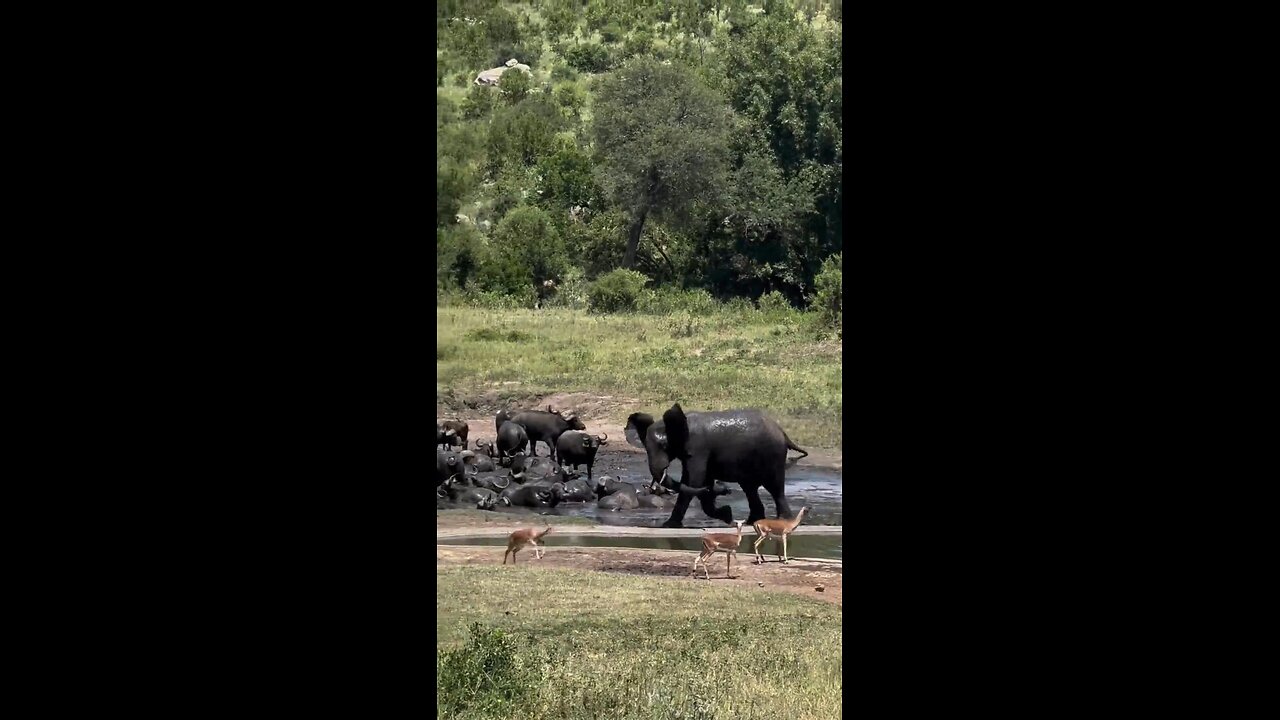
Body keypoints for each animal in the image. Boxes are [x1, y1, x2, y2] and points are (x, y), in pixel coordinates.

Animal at [627, 404, 798, 527]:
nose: (725, 489)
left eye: (664, 446)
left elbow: (694, 480)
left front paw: (668, 526)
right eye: (646, 448)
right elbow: (700, 482)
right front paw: (727, 514)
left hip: (773, 454)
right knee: (750, 488)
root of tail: (782, 432)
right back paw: (752, 522)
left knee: (774, 486)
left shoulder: (698, 448)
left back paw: (783, 521)